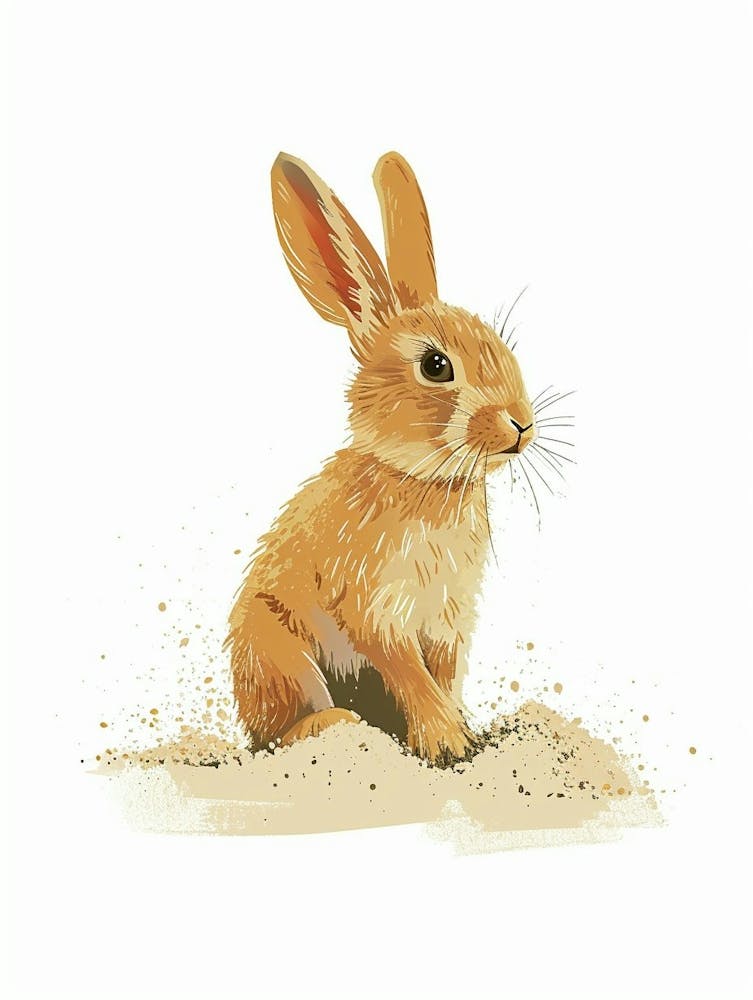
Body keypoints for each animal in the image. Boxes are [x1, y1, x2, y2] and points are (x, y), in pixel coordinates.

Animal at [225, 150, 537, 764]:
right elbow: (412, 675)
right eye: (436, 366)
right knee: (279, 732)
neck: (424, 481)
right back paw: (332, 728)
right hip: (276, 654)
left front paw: (463, 737)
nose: (522, 425)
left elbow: (443, 676)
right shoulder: (374, 608)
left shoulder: (448, 620)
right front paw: (446, 743)